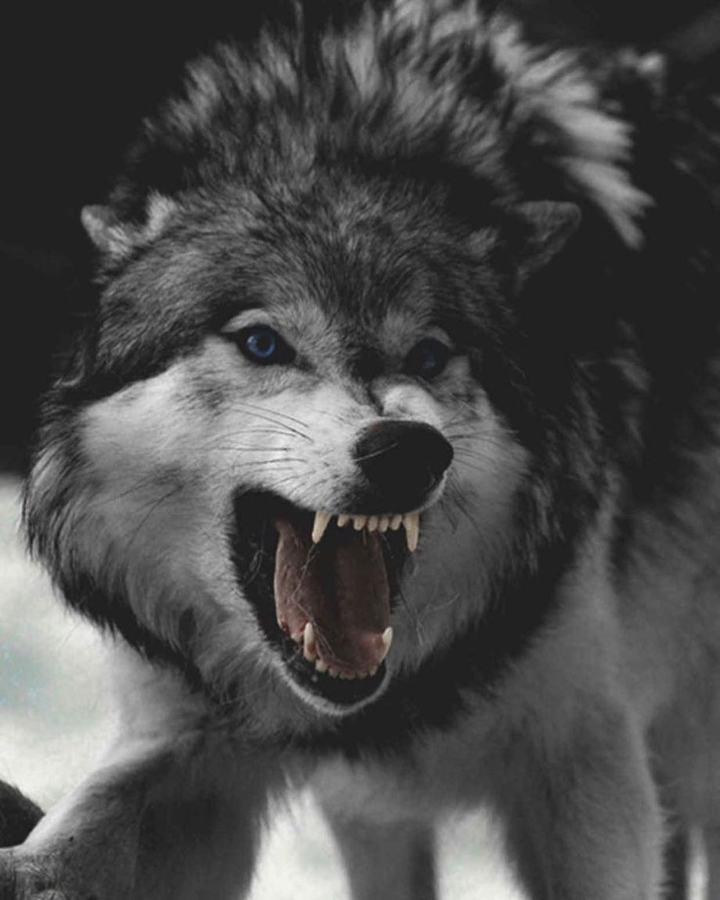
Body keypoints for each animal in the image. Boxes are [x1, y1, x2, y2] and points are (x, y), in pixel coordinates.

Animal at [2, 0, 720, 897]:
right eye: (263, 343)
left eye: (430, 356)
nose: (409, 450)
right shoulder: (188, 746)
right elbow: (80, 825)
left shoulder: (584, 764)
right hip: (372, 819)